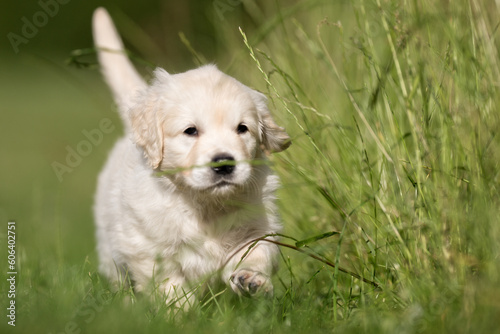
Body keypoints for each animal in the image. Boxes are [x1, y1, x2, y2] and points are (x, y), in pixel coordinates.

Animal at [92, 7, 292, 302]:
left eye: (242, 129)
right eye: (191, 131)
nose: (224, 163)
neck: (206, 205)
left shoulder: (257, 225)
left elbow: (256, 252)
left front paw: (251, 280)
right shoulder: (145, 246)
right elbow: (168, 283)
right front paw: (179, 309)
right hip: (111, 253)